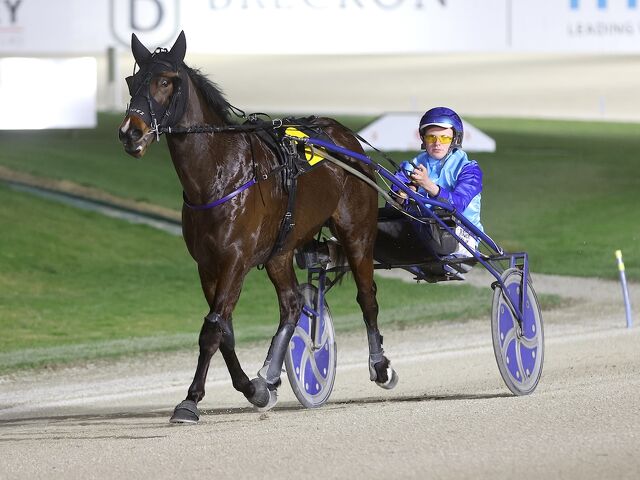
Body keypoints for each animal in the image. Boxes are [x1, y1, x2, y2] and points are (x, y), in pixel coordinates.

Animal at [118, 31, 398, 423]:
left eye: (165, 81)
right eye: (132, 82)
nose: (131, 132)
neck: (220, 174)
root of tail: (344, 135)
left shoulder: (235, 260)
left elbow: (212, 329)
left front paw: (190, 400)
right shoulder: (207, 265)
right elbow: (223, 330)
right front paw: (255, 389)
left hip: (357, 232)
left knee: (367, 298)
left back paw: (380, 366)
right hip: (281, 252)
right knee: (292, 305)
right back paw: (270, 374)